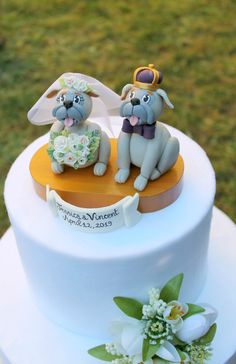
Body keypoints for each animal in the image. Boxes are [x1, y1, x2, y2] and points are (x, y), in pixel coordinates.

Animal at [114, 64, 179, 192]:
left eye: (146, 98)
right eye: (131, 95)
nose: (134, 101)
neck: (138, 129)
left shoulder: (154, 147)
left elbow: (147, 166)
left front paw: (140, 181)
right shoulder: (125, 133)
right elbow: (124, 159)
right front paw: (122, 174)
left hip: (173, 147)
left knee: (161, 168)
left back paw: (154, 173)